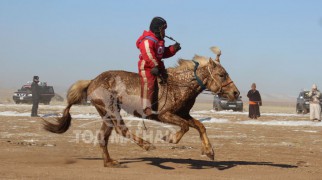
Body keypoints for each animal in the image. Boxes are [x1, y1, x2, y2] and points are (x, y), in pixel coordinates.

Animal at [43, 46, 239, 167]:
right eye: (222, 74)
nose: (236, 93)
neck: (180, 84)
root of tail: (92, 81)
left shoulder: (183, 113)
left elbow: (200, 126)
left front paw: (209, 151)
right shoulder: (165, 115)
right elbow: (185, 127)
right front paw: (170, 138)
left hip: (106, 114)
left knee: (103, 137)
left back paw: (110, 162)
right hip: (111, 109)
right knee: (121, 129)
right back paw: (146, 145)